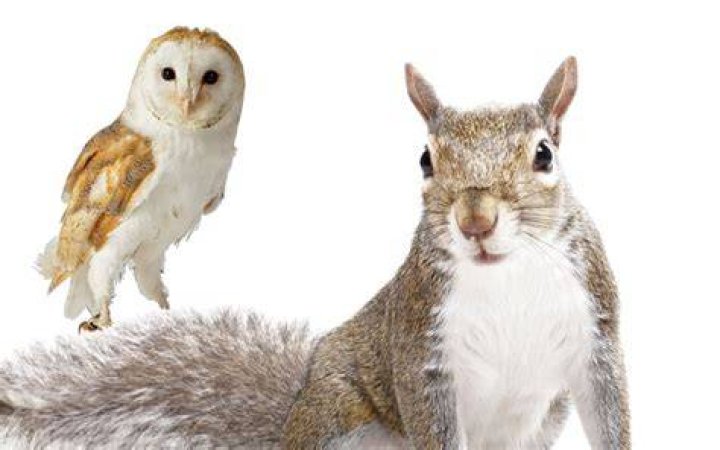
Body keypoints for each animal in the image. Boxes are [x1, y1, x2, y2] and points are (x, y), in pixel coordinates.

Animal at [0, 57, 630, 449]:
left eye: (545, 155)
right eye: (425, 160)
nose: (475, 220)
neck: (507, 275)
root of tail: (292, 420)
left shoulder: (595, 334)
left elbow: (610, 412)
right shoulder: (421, 348)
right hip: (341, 417)